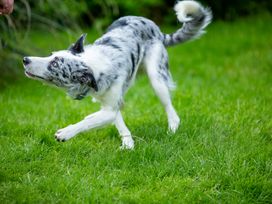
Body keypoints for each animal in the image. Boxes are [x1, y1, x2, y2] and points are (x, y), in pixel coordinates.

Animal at [22, 0, 211, 150]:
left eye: (54, 64)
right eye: (50, 55)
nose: (25, 59)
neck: (94, 67)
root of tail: (154, 27)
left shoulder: (110, 108)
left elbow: (88, 121)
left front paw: (66, 133)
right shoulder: (110, 104)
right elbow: (117, 122)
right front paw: (128, 144)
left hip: (157, 78)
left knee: (170, 109)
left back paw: (172, 129)